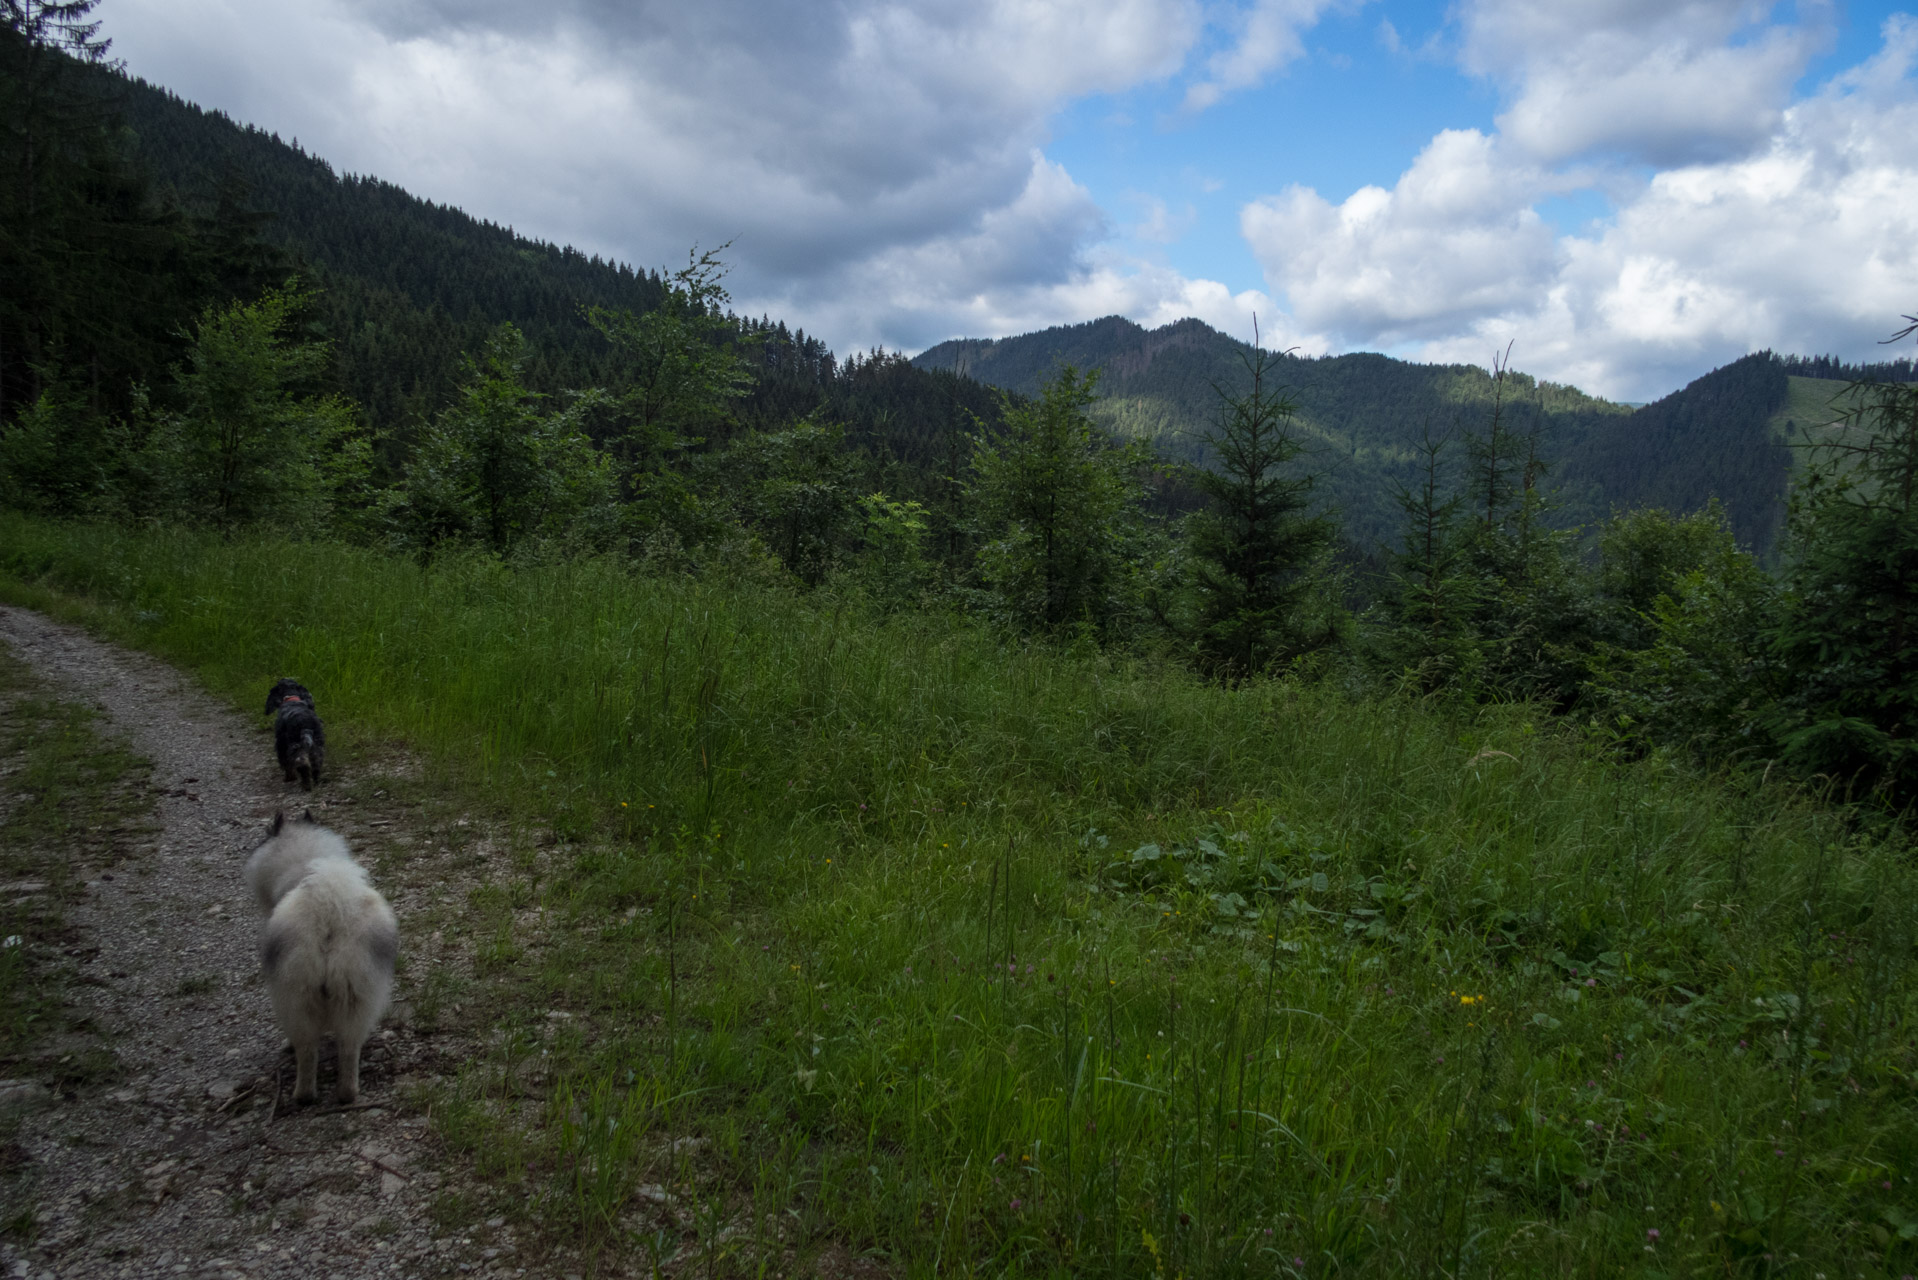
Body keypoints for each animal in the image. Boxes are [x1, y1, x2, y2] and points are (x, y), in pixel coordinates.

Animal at [245, 817, 398, 1105]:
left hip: (310, 997)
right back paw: (332, 1094)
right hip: (342, 997)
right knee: (337, 1050)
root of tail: (328, 913)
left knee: (317, 1050)